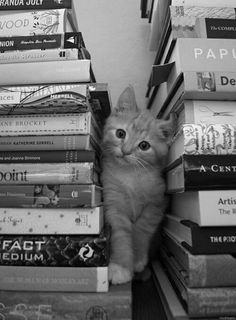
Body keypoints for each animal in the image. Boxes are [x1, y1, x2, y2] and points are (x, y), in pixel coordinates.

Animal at [100, 85, 174, 284]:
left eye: (144, 145)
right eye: (120, 133)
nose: (125, 151)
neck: (130, 174)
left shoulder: (157, 203)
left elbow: (142, 229)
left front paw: (138, 259)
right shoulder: (113, 202)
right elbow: (120, 233)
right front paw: (120, 267)